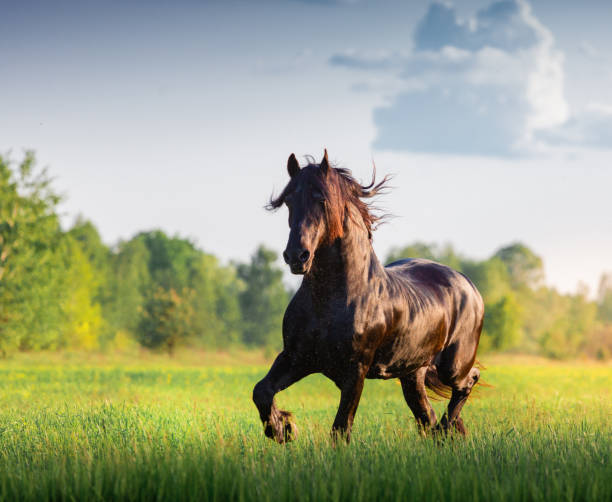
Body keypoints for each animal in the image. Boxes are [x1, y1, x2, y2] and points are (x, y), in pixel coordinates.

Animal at [252, 151, 482, 442]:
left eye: (321, 199)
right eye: (289, 201)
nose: (296, 256)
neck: (329, 303)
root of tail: (468, 284)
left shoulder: (355, 371)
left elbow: (340, 429)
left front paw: (285, 427)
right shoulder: (296, 358)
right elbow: (261, 391)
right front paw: (284, 428)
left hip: (453, 365)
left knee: (467, 382)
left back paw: (447, 427)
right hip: (412, 373)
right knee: (427, 416)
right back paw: (445, 433)